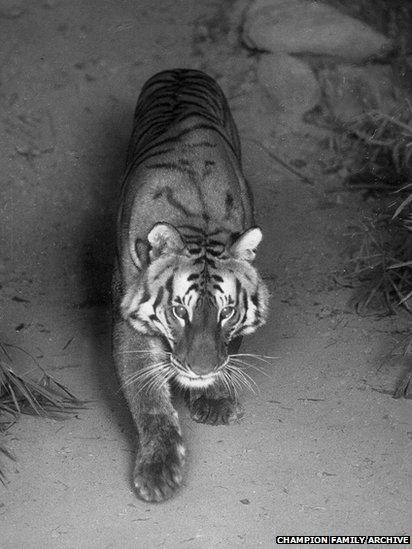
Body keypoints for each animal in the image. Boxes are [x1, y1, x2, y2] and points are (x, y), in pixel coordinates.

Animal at [111, 68, 268, 500]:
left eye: (227, 311)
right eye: (178, 309)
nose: (199, 370)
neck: (198, 223)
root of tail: (181, 68)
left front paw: (212, 398)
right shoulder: (131, 321)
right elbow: (148, 398)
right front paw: (158, 470)